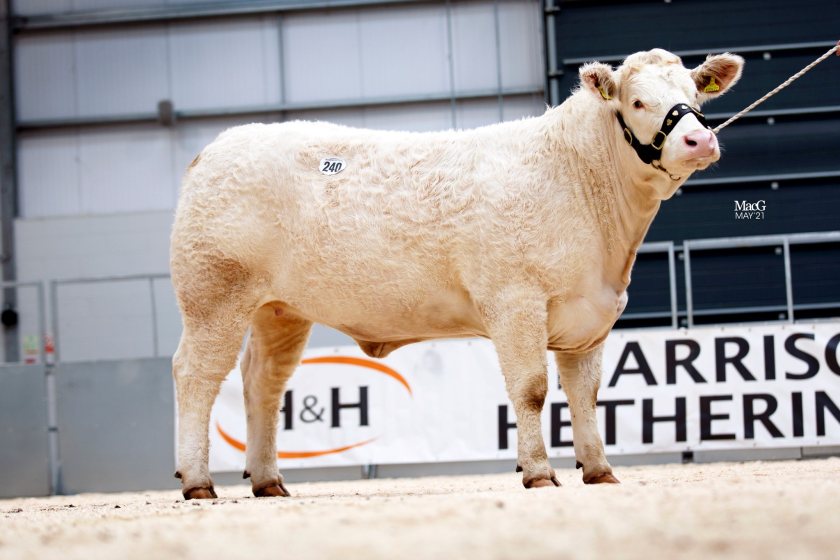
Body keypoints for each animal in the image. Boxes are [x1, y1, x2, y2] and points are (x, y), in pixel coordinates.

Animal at [169, 48, 740, 498]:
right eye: (638, 102)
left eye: (696, 94)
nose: (699, 141)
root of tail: (216, 148)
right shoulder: (515, 300)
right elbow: (532, 389)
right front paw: (538, 472)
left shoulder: (590, 316)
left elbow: (586, 395)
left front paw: (599, 470)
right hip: (214, 295)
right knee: (196, 375)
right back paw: (198, 481)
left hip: (280, 310)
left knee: (263, 382)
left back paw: (268, 480)